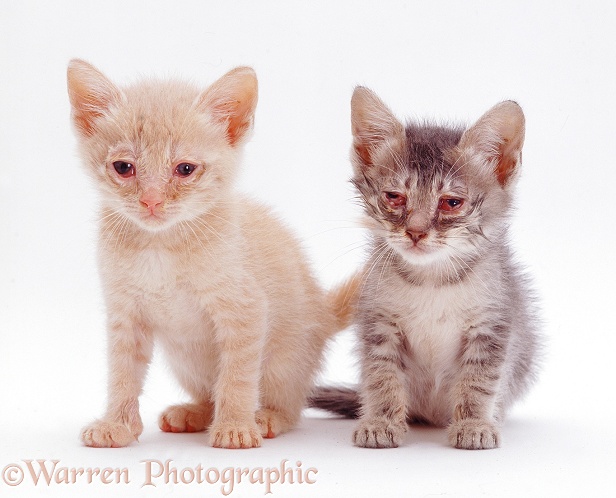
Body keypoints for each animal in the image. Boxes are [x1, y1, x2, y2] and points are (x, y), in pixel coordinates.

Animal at [67, 60, 356, 450]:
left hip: (285, 361)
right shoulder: (125, 314)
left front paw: (235, 427)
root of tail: (324, 312)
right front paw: (116, 424)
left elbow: (236, 377)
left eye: (185, 169)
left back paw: (267, 417)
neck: (161, 246)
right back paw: (194, 413)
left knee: (290, 404)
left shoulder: (246, 309)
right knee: (209, 391)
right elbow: (122, 373)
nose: (151, 201)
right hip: (184, 359)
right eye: (123, 167)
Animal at [308, 87, 540, 450]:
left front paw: (474, 424)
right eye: (394, 197)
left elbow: (479, 380)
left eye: (451, 203)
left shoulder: (494, 324)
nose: (415, 232)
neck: (432, 281)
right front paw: (381, 422)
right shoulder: (378, 322)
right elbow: (382, 376)